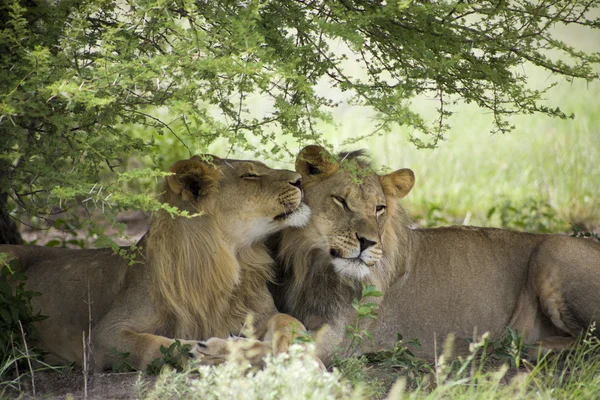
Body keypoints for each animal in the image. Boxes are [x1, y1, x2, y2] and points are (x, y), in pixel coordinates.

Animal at [0, 155, 310, 370]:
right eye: (249, 175)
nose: (300, 179)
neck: (230, 259)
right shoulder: (103, 336)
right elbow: (151, 345)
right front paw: (205, 351)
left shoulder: (261, 314)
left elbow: (289, 320)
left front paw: (288, 347)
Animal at [270, 145, 600, 368]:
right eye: (340, 201)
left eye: (379, 208)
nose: (367, 242)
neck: (317, 266)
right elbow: (283, 325)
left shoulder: (342, 338)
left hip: (553, 248)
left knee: (591, 344)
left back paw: (525, 347)